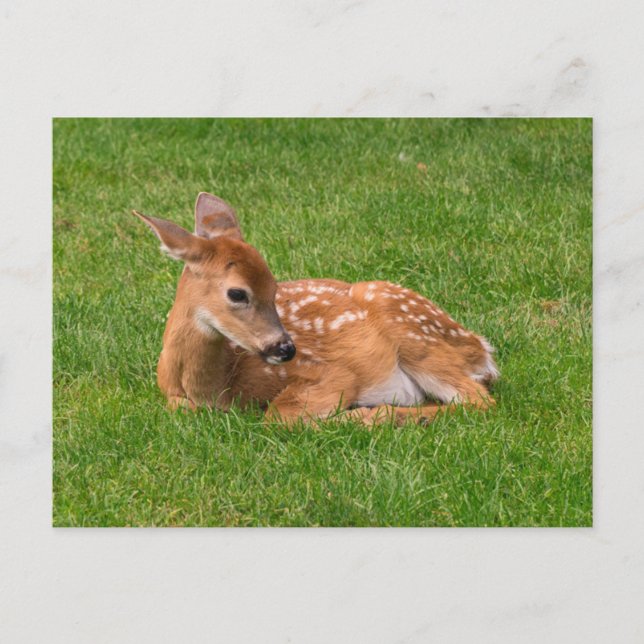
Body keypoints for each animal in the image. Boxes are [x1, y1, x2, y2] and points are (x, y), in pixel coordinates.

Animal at [132, 192, 498, 427]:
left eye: (275, 286)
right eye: (237, 293)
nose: (286, 348)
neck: (216, 386)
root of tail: (481, 348)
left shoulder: (331, 373)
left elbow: (278, 415)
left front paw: (355, 414)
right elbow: (181, 408)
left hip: (416, 336)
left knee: (480, 401)